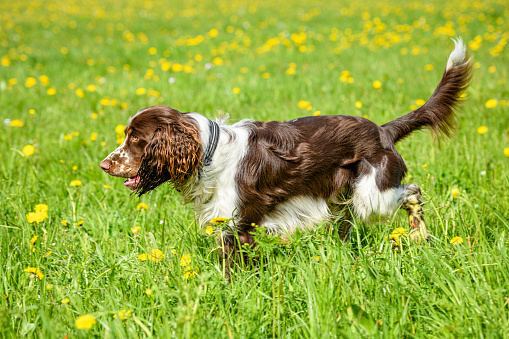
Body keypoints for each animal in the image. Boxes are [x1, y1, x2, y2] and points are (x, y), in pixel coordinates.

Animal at [100, 37, 472, 276]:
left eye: (136, 138)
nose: (104, 165)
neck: (209, 153)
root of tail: (383, 130)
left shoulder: (239, 223)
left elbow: (233, 265)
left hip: (373, 195)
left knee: (413, 193)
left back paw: (418, 233)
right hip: (344, 198)